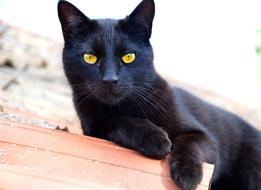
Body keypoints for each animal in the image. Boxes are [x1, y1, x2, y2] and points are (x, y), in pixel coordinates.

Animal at [58, 0, 258, 189]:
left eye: (128, 56)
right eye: (89, 57)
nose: (110, 79)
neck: (126, 105)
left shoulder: (206, 139)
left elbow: (190, 142)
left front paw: (187, 175)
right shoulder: (94, 129)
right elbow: (119, 121)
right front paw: (155, 139)